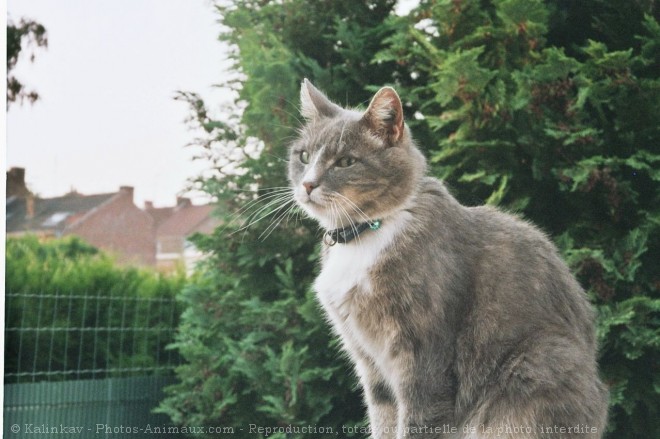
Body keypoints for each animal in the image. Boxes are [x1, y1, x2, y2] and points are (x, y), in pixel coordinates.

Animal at [288, 80, 608, 439]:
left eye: (345, 161)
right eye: (303, 156)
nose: (307, 184)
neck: (367, 233)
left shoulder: (426, 356)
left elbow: (420, 421)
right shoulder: (369, 361)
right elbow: (383, 418)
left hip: (538, 363)